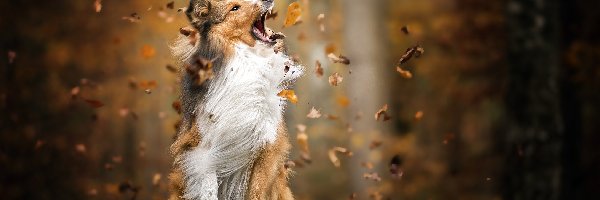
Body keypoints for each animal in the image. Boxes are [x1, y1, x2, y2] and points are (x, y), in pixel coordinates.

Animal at [168, 0, 302, 199]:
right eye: (235, 8)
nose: (267, 0)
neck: (246, 62)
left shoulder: (268, 145)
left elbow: (257, 189)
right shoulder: (201, 148)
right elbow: (208, 188)